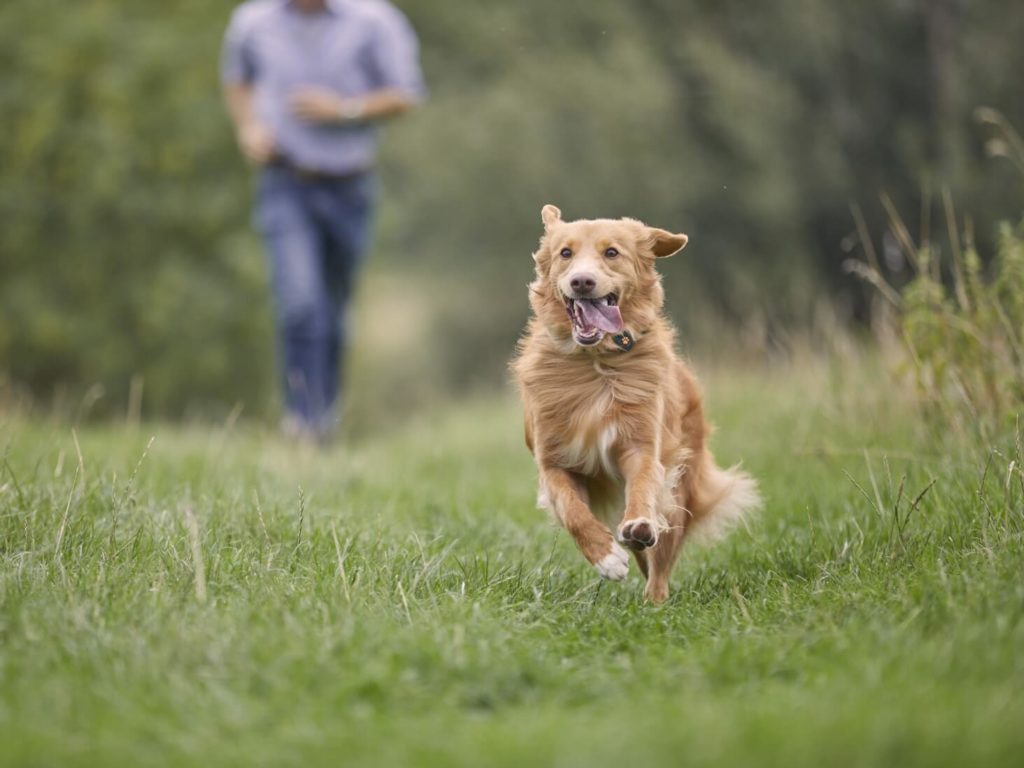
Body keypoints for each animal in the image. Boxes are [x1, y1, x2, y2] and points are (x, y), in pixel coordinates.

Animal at [512, 207, 761, 606]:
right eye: (565, 253)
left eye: (612, 252)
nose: (582, 281)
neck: (595, 361)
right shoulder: (553, 462)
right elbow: (573, 512)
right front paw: (607, 557)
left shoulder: (641, 446)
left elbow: (643, 486)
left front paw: (639, 524)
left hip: (679, 486)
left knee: (661, 555)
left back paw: (654, 597)